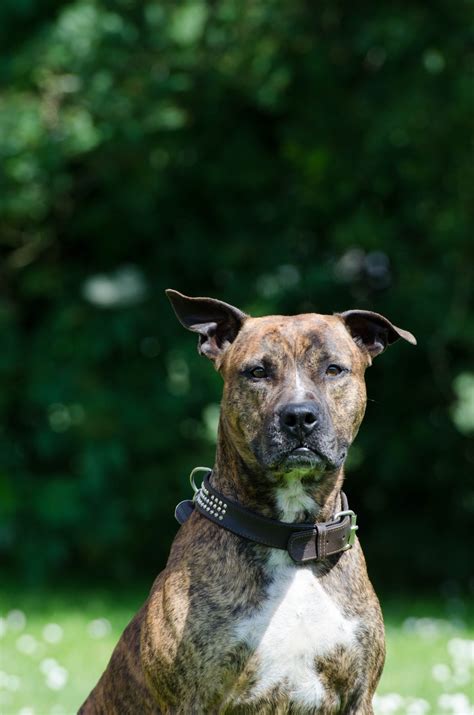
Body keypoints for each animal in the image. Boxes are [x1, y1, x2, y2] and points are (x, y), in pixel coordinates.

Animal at [79, 288, 416, 712]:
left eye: (334, 369)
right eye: (257, 372)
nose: (299, 416)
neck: (291, 539)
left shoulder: (357, 694)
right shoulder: (193, 697)